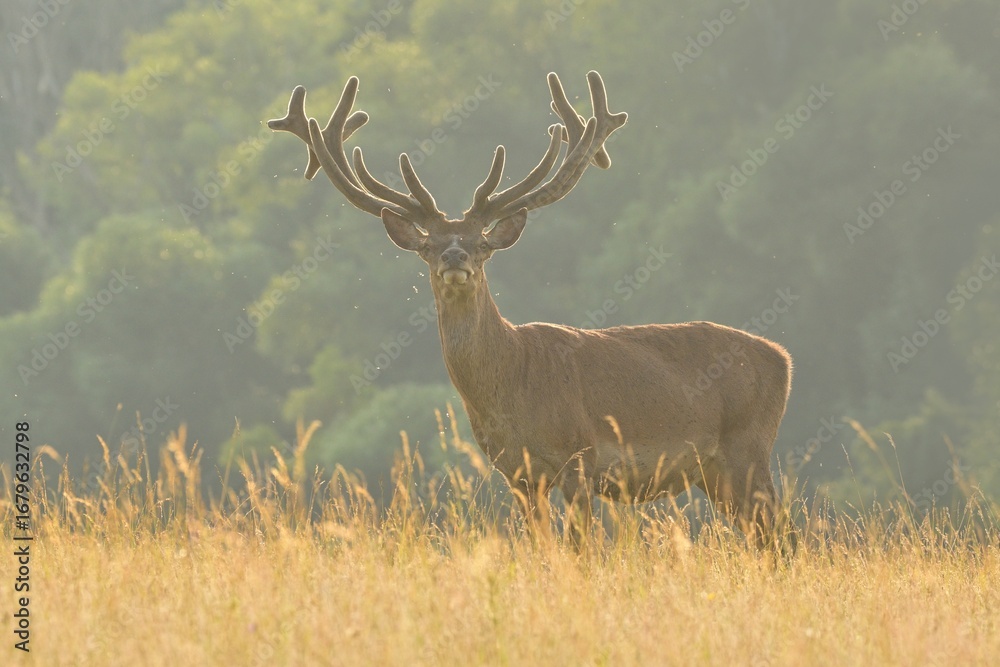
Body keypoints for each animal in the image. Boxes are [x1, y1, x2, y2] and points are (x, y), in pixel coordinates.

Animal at [267, 71, 793, 544]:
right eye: (429, 245)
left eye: (481, 243)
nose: (455, 257)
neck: (513, 387)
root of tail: (783, 358)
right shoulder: (516, 473)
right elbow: (541, 545)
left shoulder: (579, 455)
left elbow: (580, 548)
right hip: (717, 473)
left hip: (748, 446)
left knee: (781, 534)